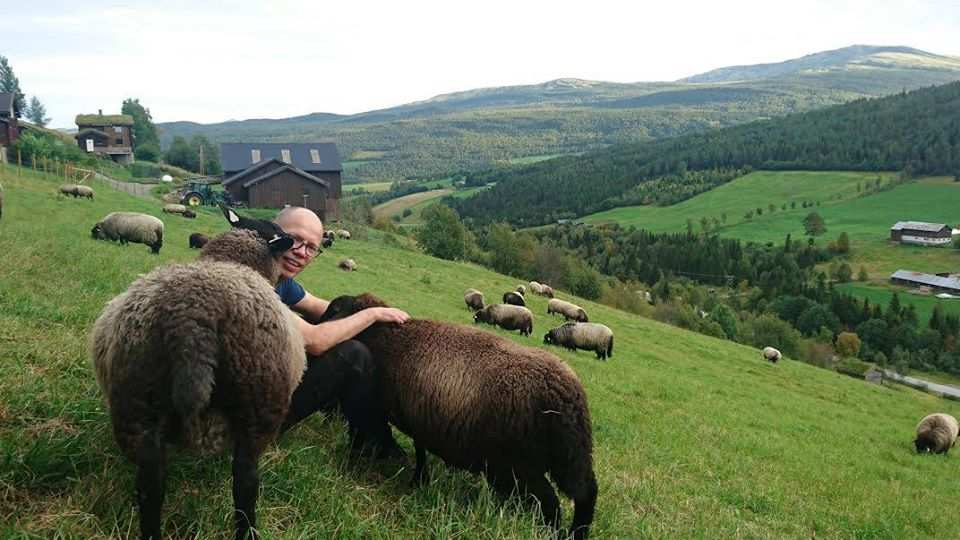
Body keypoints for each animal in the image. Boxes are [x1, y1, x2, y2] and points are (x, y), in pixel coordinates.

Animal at [318, 292, 596, 540]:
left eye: (333, 311)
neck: (382, 336)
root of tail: (569, 394)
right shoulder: (421, 416)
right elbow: (419, 450)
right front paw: (418, 479)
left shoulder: (376, 407)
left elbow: (364, 432)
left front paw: (357, 460)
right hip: (564, 458)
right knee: (585, 492)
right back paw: (576, 532)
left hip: (520, 465)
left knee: (552, 503)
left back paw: (556, 532)